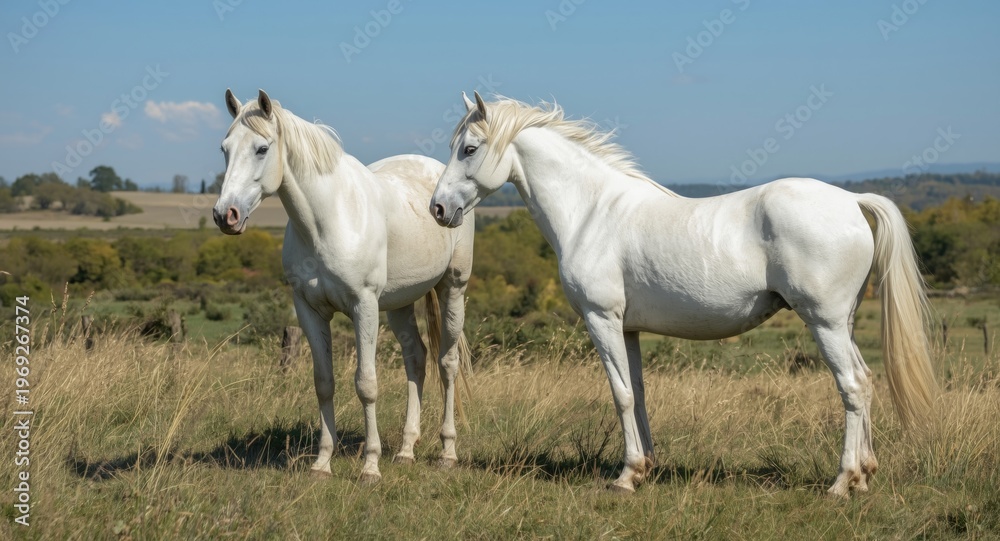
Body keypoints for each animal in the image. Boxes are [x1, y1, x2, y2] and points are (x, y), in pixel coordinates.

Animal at [213, 89, 475, 484]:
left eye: (261, 149)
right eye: (225, 149)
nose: (224, 215)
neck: (328, 220)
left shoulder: (363, 306)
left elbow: (366, 385)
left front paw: (370, 466)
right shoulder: (309, 310)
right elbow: (324, 382)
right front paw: (322, 462)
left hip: (452, 289)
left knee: (447, 363)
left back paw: (447, 452)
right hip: (399, 303)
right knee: (417, 360)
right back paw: (406, 450)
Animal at [429, 92, 936, 497]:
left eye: (469, 148)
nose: (438, 209)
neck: (591, 211)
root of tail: (851, 200)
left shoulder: (602, 319)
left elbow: (620, 393)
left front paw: (626, 476)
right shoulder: (628, 329)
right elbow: (638, 391)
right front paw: (644, 468)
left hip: (824, 322)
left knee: (852, 386)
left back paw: (841, 483)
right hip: (842, 323)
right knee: (866, 380)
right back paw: (864, 476)